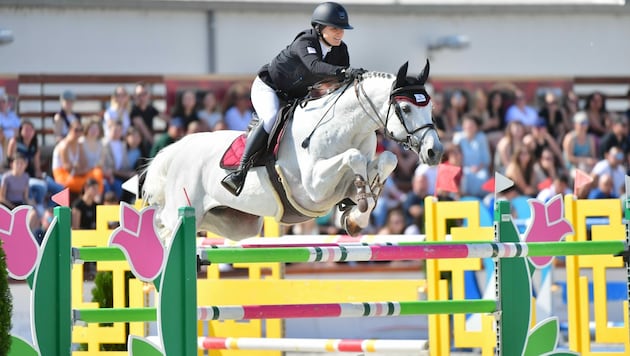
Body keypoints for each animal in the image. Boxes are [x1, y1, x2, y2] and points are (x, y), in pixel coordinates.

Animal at [144, 61, 444, 241]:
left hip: (233, 223)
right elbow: (353, 157)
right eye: (405, 108)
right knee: (163, 223)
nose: (435, 152)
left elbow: (386, 160)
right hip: (184, 207)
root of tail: (178, 149)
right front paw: (360, 200)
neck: (346, 127)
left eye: (430, 107)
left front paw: (357, 215)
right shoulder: (313, 188)